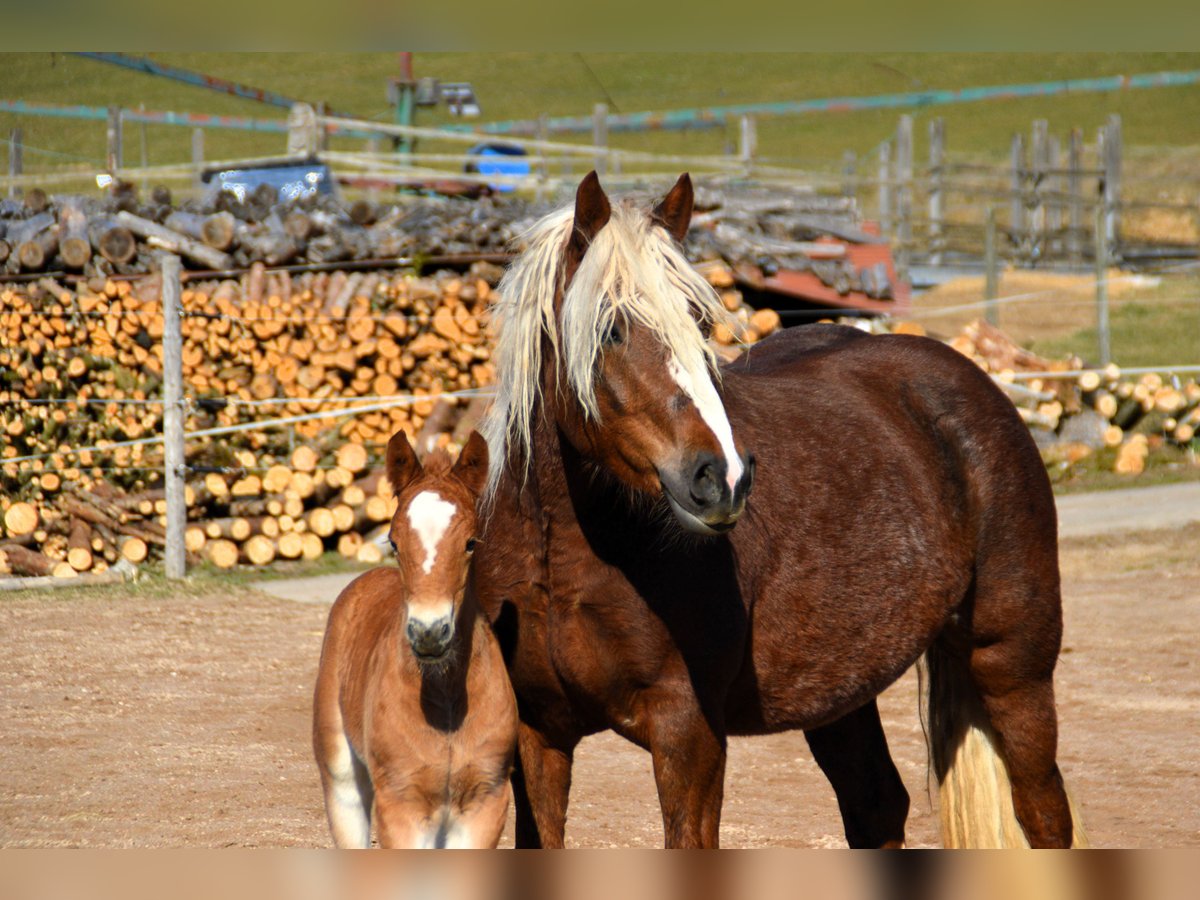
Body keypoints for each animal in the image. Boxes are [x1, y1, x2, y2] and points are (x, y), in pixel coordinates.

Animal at [312, 430, 517, 848]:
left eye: (471, 542)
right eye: (393, 541)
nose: (429, 632)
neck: (447, 703)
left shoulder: (486, 802)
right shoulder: (401, 805)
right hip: (342, 781)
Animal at [471, 170, 1087, 848]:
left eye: (701, 323)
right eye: (609, 328)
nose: (722, 479)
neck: (564, 556)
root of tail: (973, 385)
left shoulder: (688, 734)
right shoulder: (539, 735)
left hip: (1013, 665)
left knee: (1043, 811)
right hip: (844, 691)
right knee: (878, 804)